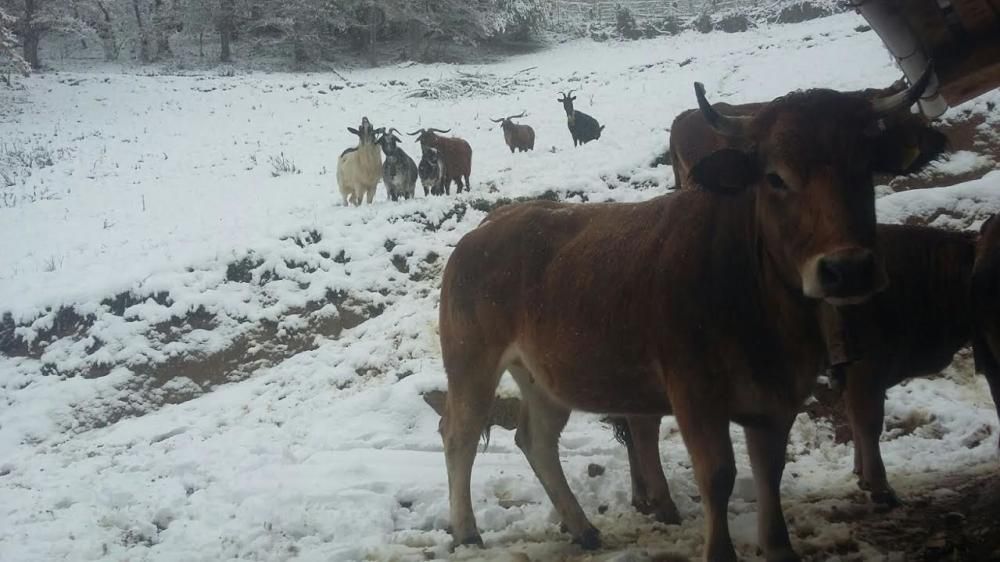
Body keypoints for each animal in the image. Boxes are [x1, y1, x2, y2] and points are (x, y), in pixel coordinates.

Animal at [438, 76, 928, 556]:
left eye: (865, 166)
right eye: (774, 177)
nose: (849, 269)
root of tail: (483, 230)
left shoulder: (776, 398)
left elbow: (769, 472)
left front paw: (778, 547)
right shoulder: (695, 394)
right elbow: (718, 475)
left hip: (543, 376)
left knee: (536, 439)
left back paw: (583, 528)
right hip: (471, 361)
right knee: (459, 434)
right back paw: (467, 530)